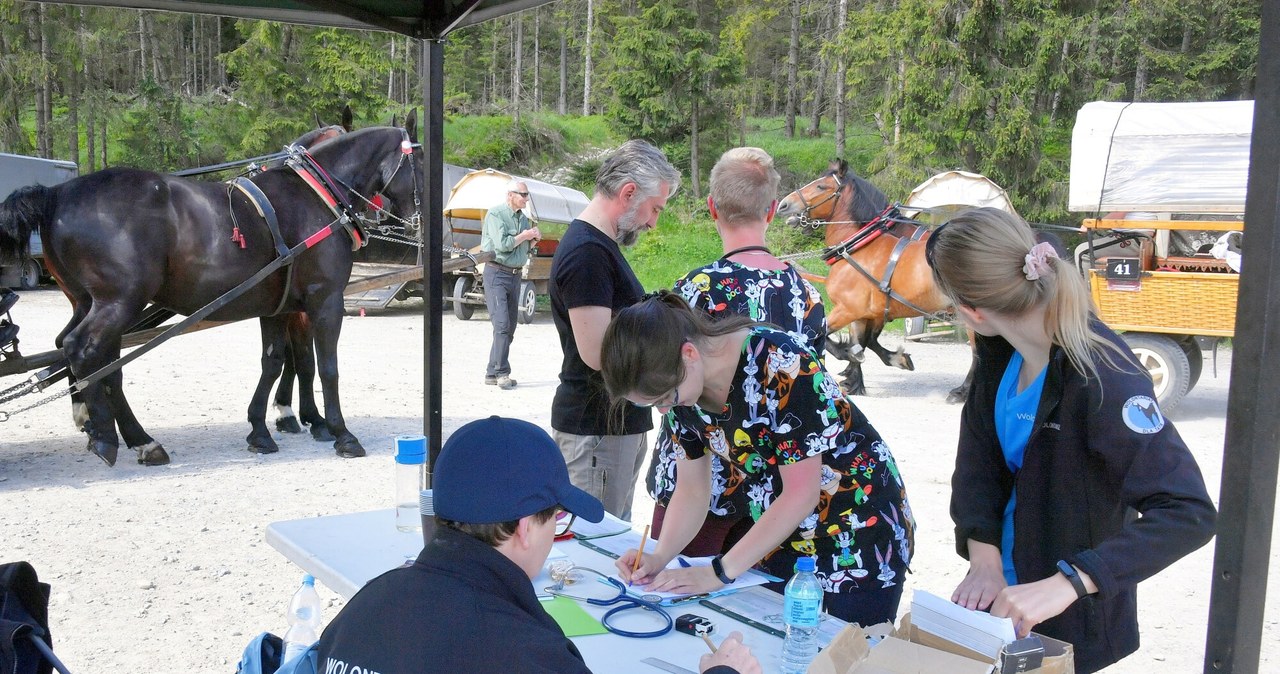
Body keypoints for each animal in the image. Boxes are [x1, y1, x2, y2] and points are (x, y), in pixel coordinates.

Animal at [0, 118, 422, 465]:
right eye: (419, 162)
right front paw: (340, 433)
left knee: (88, 356)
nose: (415, 221)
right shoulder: (325, 300)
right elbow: (326, 366)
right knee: (82, 349)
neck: (314, 195)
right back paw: (110, 437)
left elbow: (274, 362)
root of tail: (56, 194)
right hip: (118, 302)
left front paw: (261, 430)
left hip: (89, 301)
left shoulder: (277, 306)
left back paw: (130, 436)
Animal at [768, 161, 952, 399]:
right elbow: (864, 341)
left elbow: (828, 337)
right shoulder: (868, 313)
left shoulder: (849, 309)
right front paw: (858, 374)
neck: (860, 246)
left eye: (821, 186)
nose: (783, 204)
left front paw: (850, 360)